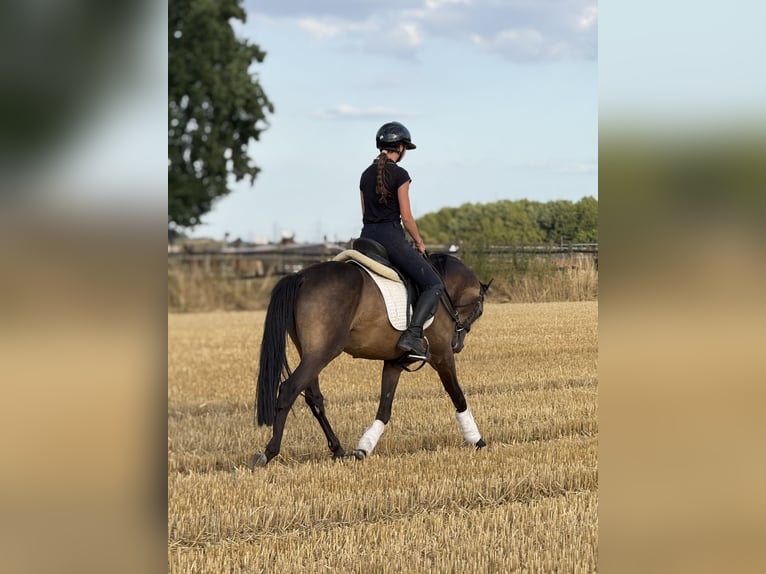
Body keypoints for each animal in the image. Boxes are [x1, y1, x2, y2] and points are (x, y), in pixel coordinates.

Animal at [251, 251, 491, 467]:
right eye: (478, 311)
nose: (457, 345)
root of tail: (301, 277)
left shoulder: (394, 363)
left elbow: (384, 409)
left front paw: (363, 448)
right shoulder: (442, 357)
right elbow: (458, 396)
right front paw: (478, 441)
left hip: (311, 353)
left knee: (313, 398)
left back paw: (338, 450)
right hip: (322, 352)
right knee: (288, 390)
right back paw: (268, 453)